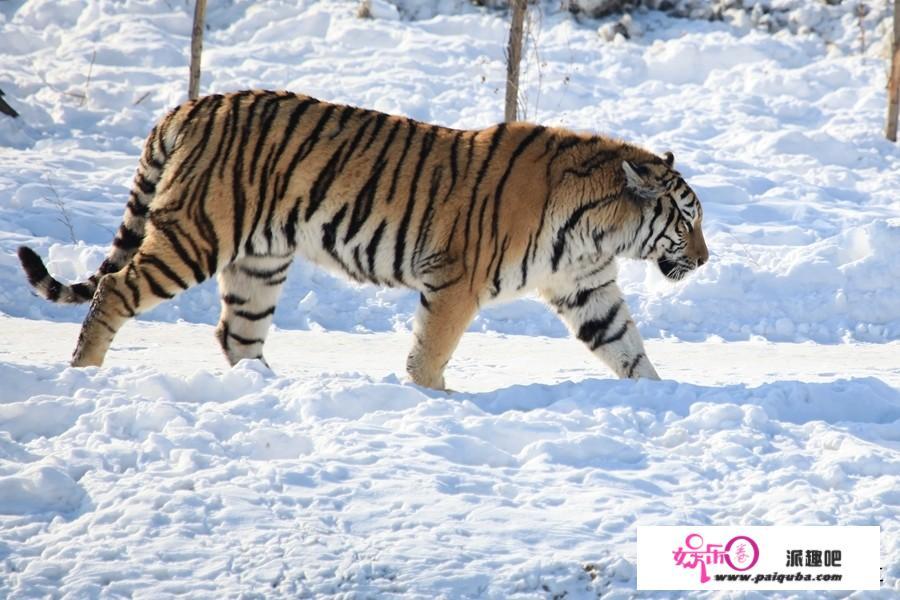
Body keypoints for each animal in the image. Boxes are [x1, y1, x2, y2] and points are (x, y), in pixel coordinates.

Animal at [14, 88, 708, 390]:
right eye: (686, 220)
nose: (704, 260)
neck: (596, 231)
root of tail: (192, 104)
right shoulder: (455, 282)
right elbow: (429, 353)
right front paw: (434, 399)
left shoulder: (587, 289)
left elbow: (627, 348)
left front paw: (659, 397)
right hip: (196, 236)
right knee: (112, 289)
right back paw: (83, 374)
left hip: (260, 260)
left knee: (237, 334)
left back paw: (267, 393)